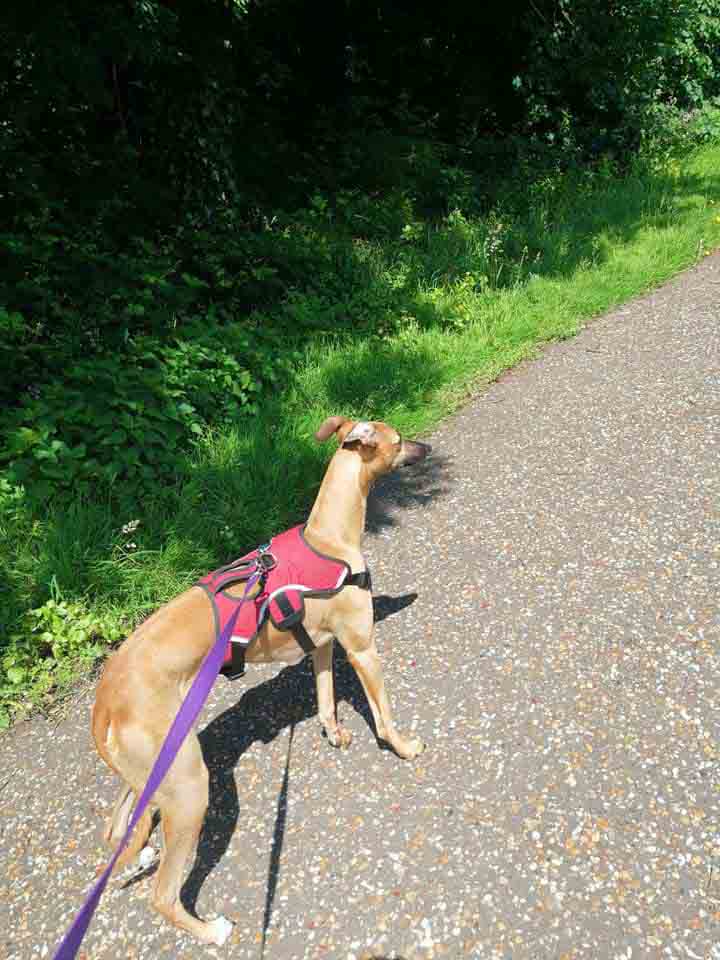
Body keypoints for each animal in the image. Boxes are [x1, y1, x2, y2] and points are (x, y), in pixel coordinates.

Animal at [89, 414, 428, 944]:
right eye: (398, 440)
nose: (427, 449)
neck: (328, 536)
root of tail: (105, 700)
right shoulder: (361, 647)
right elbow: (383, 712)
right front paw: (404, 747)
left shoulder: (323, 648)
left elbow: (326, 699)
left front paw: (334, 734)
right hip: (189, 788)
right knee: (163, 894)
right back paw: (210, 931)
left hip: (151, 773)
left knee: (119, 826)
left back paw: (140, 851)